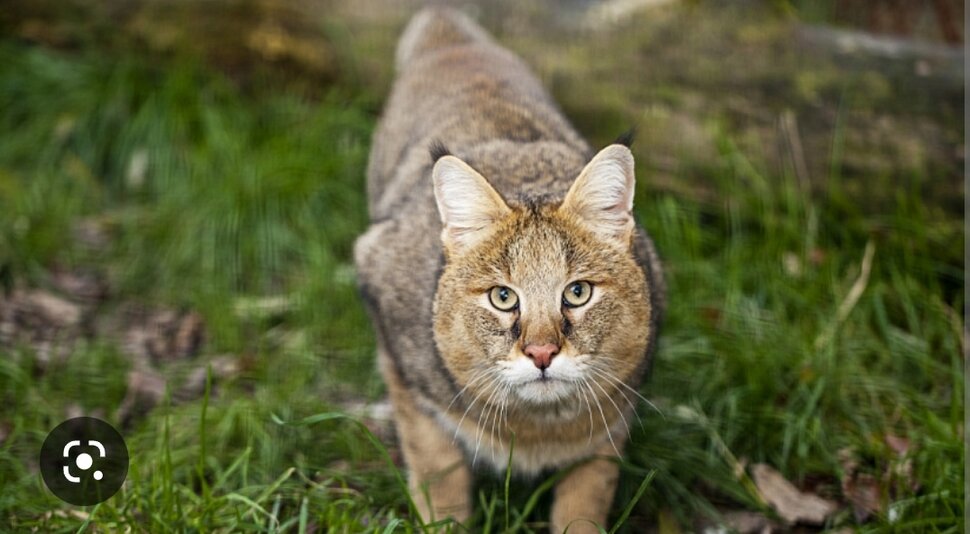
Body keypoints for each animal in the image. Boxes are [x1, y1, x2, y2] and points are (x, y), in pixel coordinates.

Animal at [356, 5, 664, 534]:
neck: (537, 425)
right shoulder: (399, 355)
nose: (541, 354)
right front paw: (445, 519)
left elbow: (588, 493)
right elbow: (437, 468)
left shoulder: (615, 416)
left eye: (577, 292)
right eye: (503, 297)